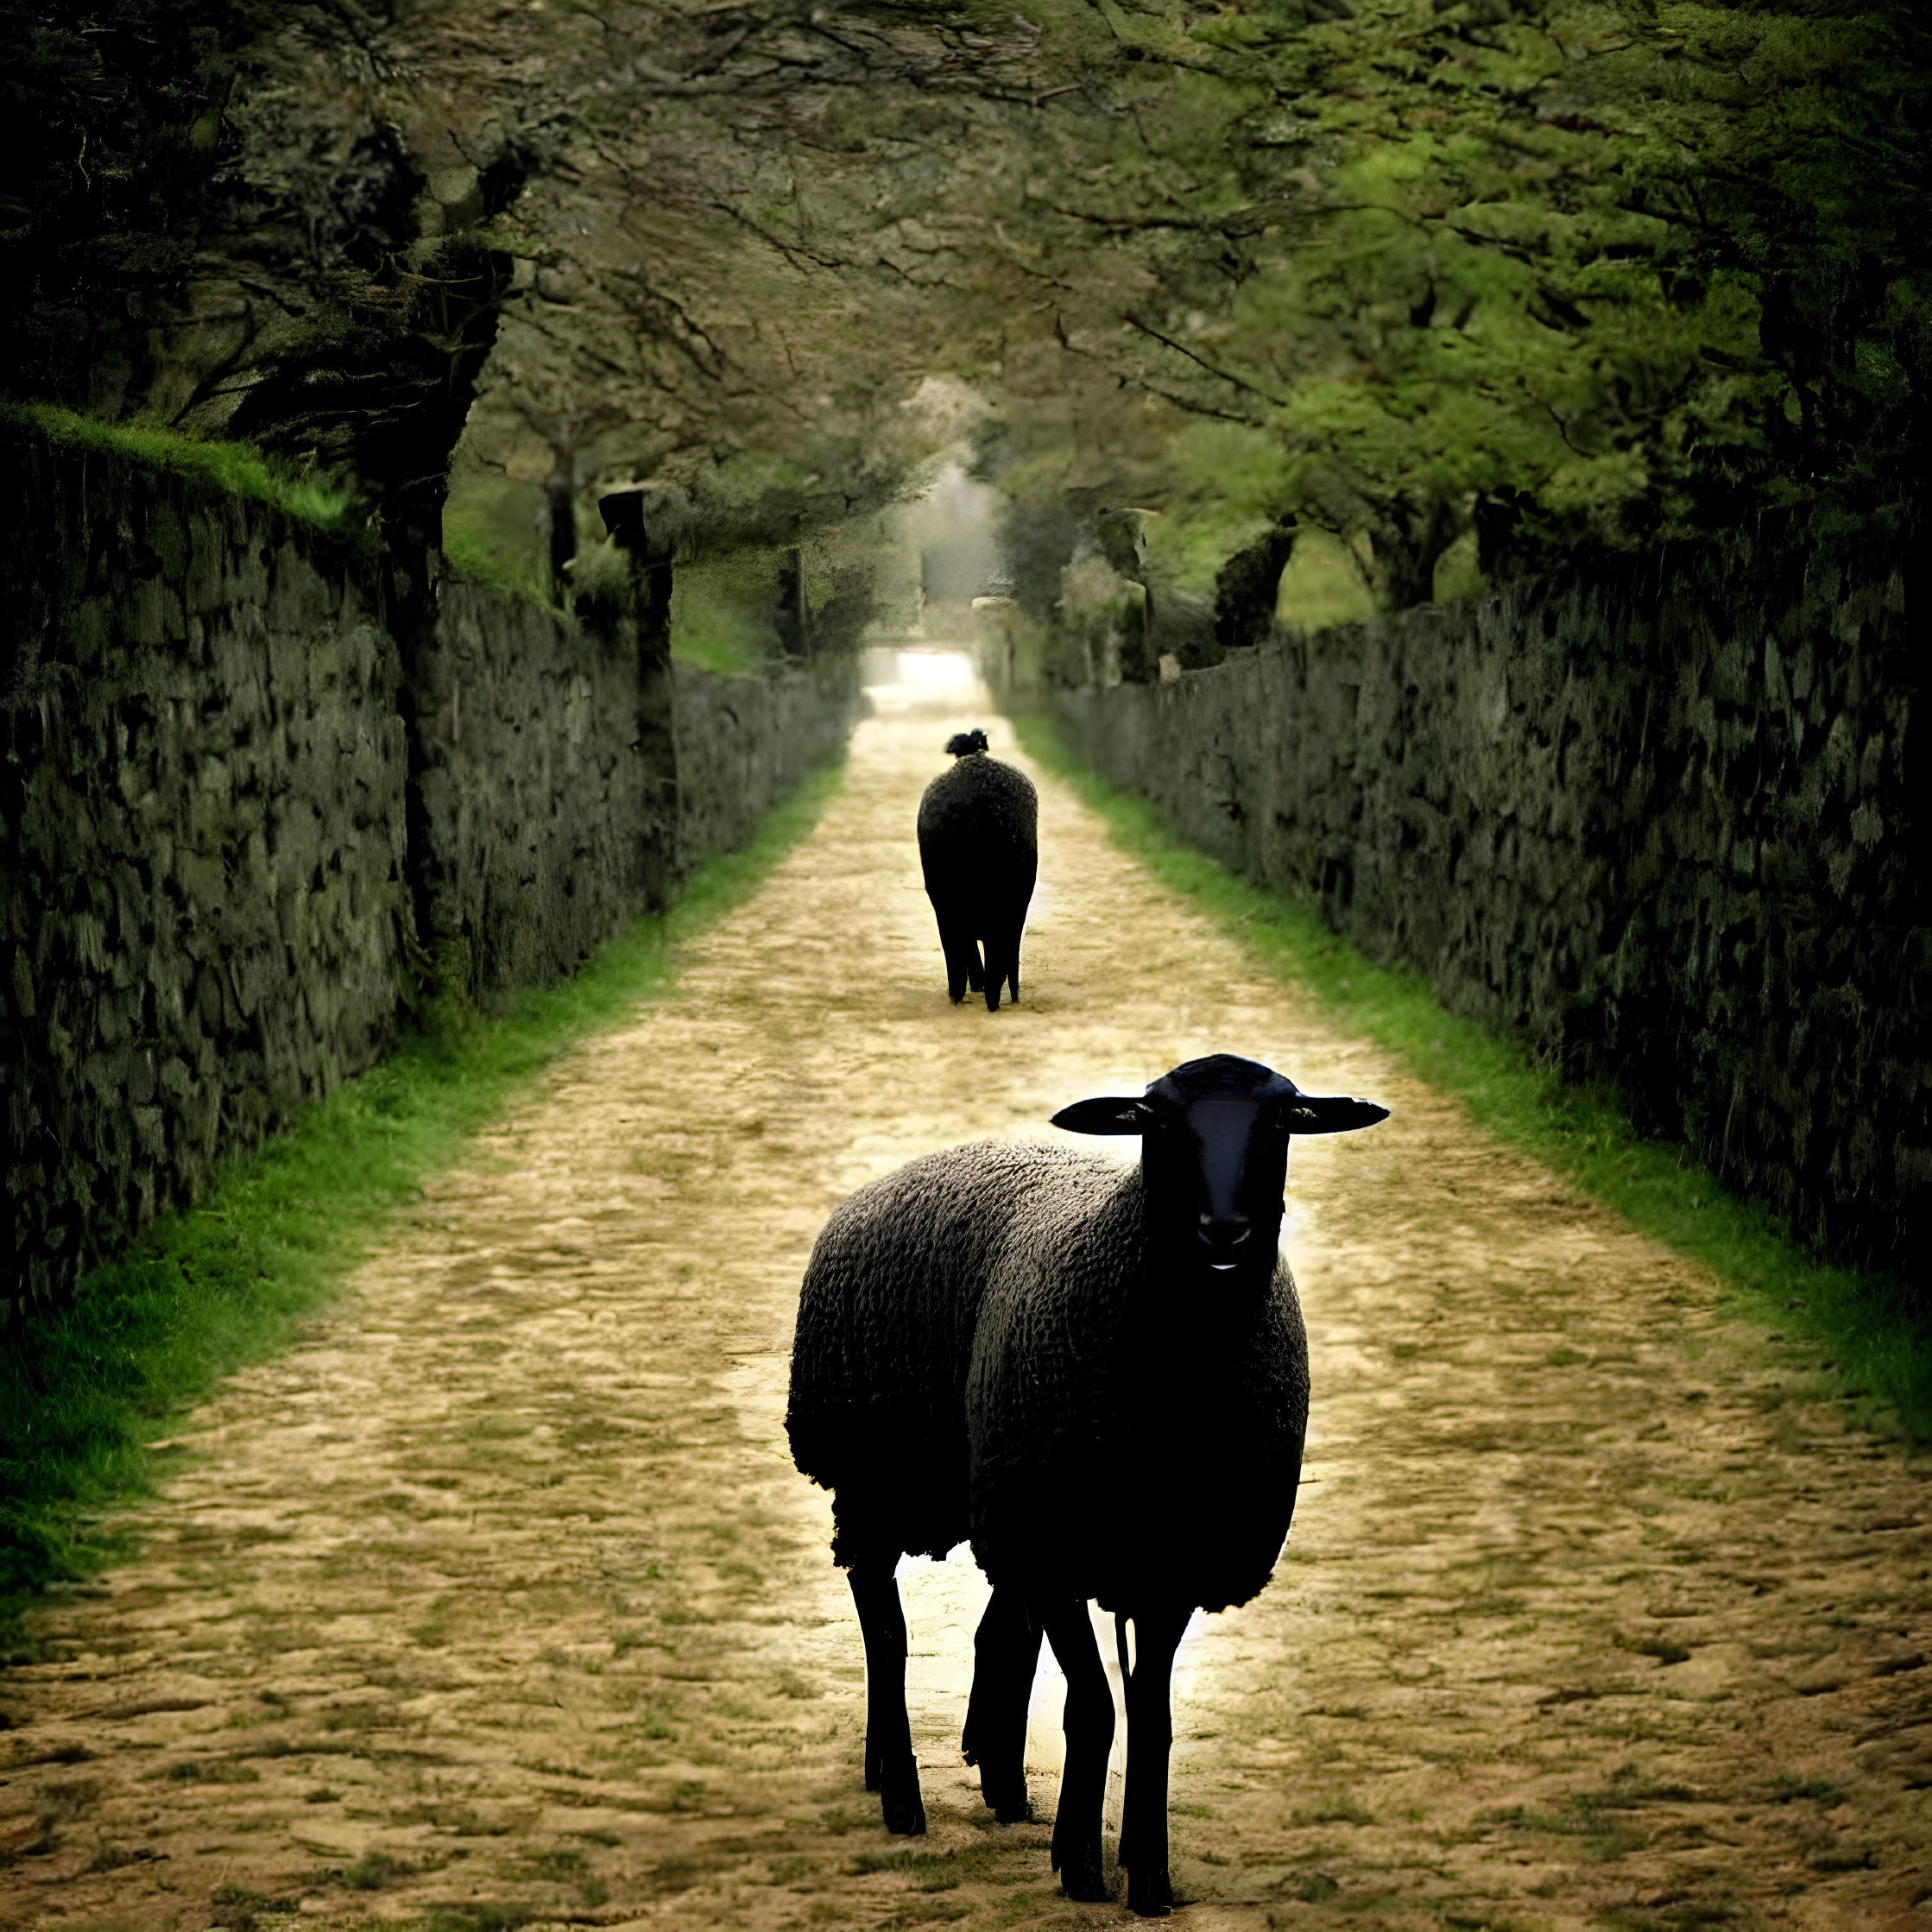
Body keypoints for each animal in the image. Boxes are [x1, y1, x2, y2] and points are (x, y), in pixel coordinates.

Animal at [784, 1058, 1391, 1916]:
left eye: (1283, 1121)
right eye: (1155, 1121)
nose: (1224, 1232)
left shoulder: (1170, 1561)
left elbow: (1151, 1715)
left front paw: (1149, 1872)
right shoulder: (1061, 1549)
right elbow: (1095, 1708)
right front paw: (1081, 1864)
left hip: (997, 1498)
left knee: (995, 1630)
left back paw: (998, 1780)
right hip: (883, 1473)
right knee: (885, 1625)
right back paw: (902, 1793)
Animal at [912, 726, 1035, 1012]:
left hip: (957, 901)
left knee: (967, 954)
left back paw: (971, 995)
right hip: (1005, 900)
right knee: (999, 952)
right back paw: (993, 995)